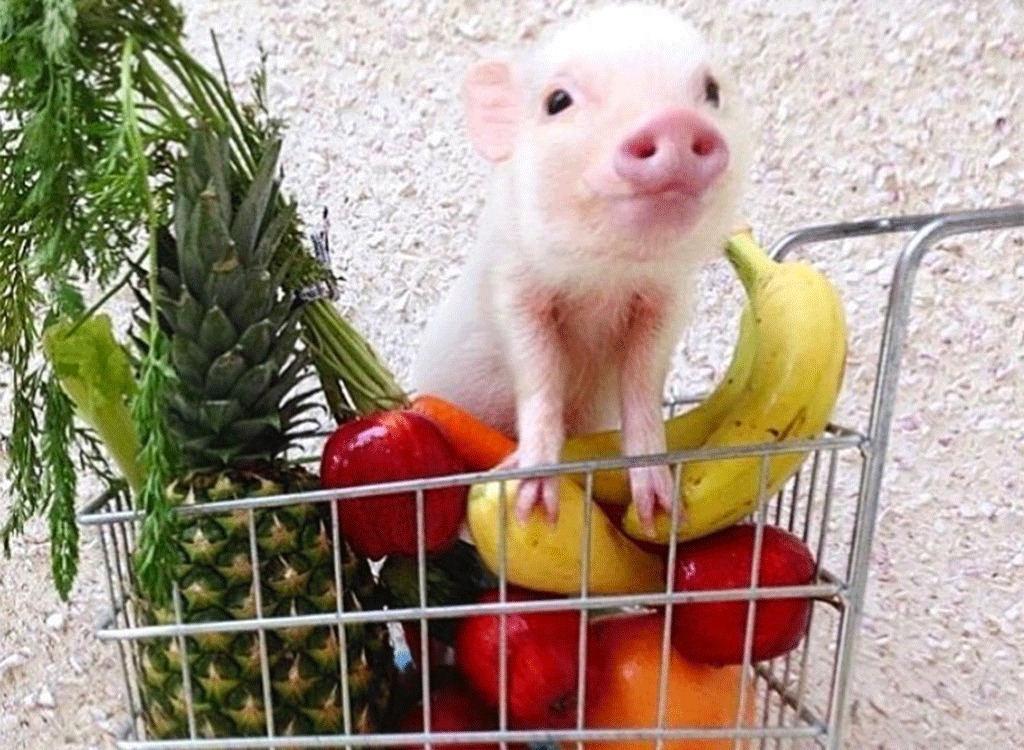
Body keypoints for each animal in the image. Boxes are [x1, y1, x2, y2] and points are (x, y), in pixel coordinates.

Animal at [410, 3, 752, 535]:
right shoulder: (513, 286)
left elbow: (642, 384)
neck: (603, 278)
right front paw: (532, 501)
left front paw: (658, 509)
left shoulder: (666, 300)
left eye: (712, 92)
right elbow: (539, 373)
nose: (674, 121)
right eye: (557, 101)